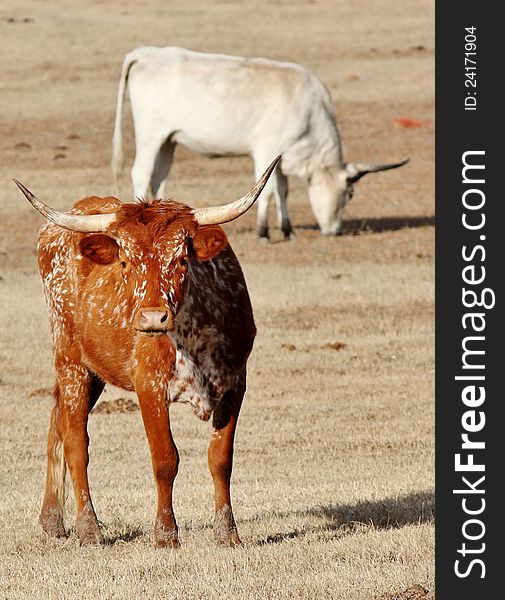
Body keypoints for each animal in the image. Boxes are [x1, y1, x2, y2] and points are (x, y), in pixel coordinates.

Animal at [12, 156, 280, 548]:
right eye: (125, 262)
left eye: (181, 259)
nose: (153, 317)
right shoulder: (149, 385)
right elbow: (165, 458)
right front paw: (166, 534)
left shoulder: (235, 382)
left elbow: (221, 459)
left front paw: (227, 533)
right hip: (70, 360)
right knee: (76, 440)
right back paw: (88, 528)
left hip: (93, 370)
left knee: (56, 421)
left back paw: (52, 520)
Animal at [112, 47, 408, 239]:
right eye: (349, 194)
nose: (335, 231)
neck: (309, 109)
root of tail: (143, 54)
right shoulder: (266, 150)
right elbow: (267, 192)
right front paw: (263, 232)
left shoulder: (281, 156)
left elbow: (283, 190)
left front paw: (287, 230)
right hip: (151, 135)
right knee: (141, 173)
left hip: (168, 141)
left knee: (158, 177)